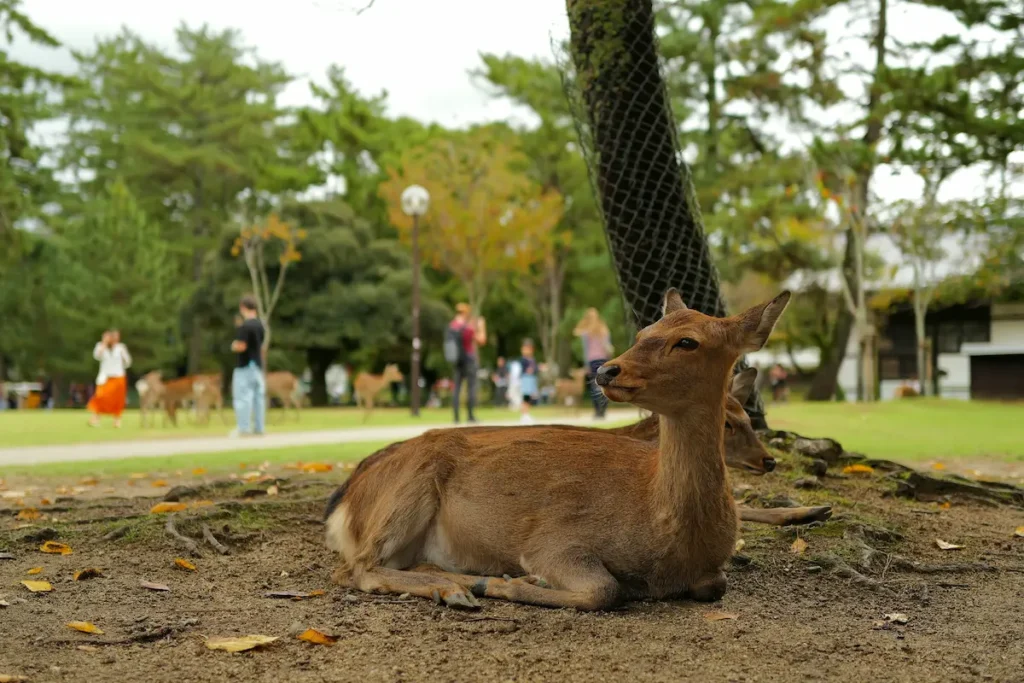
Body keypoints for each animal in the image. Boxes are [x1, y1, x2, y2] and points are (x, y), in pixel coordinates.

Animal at [324, 289, 791, 610]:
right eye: (643, 331)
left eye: (688, 341)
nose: (606, 370)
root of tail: (343, 506)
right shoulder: (553, 538)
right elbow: (604, 589)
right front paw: (510, 582)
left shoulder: (709, 571)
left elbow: (716, 584)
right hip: (406, 489)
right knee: (353, 568)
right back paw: (456, 588)